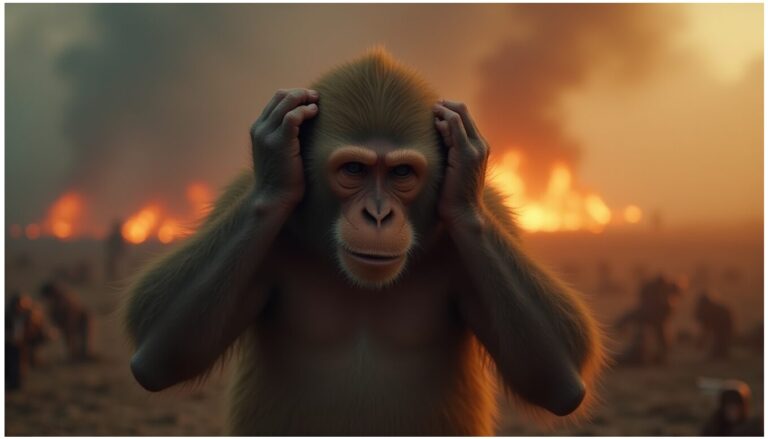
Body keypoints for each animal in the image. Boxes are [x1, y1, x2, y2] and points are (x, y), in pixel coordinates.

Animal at [124, 49, 606, 435]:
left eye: (401, 173)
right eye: (354, 170)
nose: (377, 214)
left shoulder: (493, 215)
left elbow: (560, 372)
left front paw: (467, 161)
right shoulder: (241, 197)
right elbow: (158, 347)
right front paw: (276, 153)